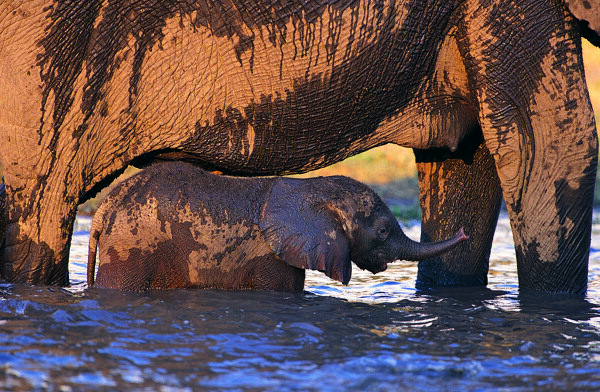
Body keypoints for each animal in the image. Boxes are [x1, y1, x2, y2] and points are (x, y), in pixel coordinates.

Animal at [86, 161, 466, 292]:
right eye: (383, 231)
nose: (464, 232)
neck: (312, 188)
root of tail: (103, 209)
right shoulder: (270, 256)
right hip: (131, 245)